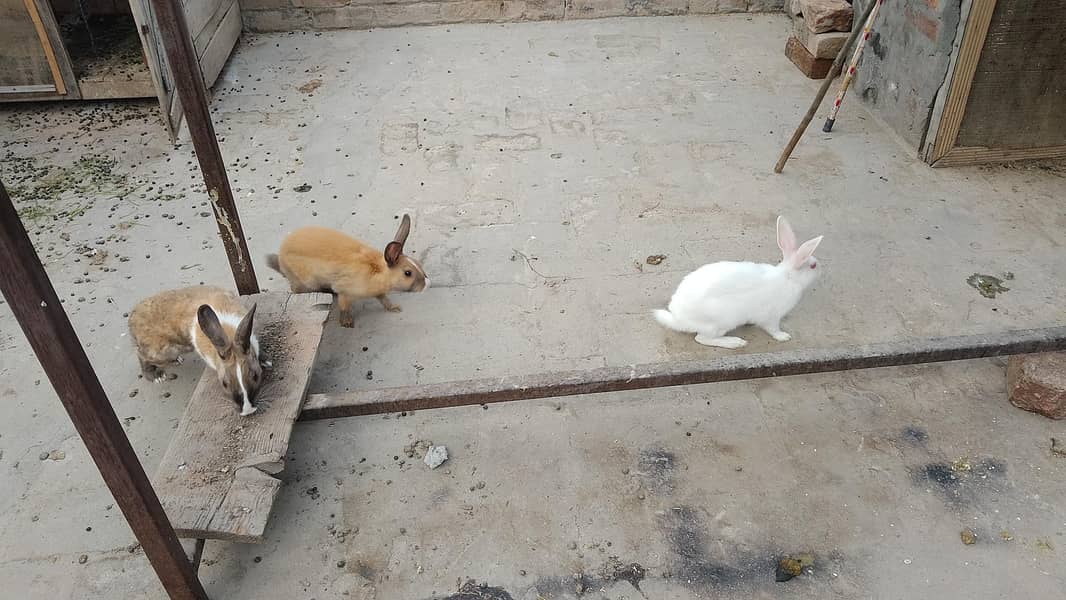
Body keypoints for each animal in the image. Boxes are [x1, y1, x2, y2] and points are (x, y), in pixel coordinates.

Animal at [128, 286, 264, 416]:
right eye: (224, 383)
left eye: (256, 376)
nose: (247, 411)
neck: (228, 334)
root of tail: (132, 320)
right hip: (163, 351)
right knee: (141, 355)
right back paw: (156, 376)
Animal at [265, 214, 429, 328]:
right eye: (408, 273)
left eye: (418, 264)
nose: (427, 284)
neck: (377, 271)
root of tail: (281, 261)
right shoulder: (344, 291)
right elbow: (344, 306)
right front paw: (347, 323)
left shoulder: (378, 292)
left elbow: (384, 299)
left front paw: (394, 308)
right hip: (305, 280)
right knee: (297, 290)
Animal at [653, 216, 823, 349]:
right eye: (813, 266)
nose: (821, 268)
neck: (788, 277)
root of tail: (678, 319)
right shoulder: (772, 317)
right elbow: (773, 329)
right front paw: (784, 336)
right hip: (721, 323)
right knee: (702, 338)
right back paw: (735, 342)